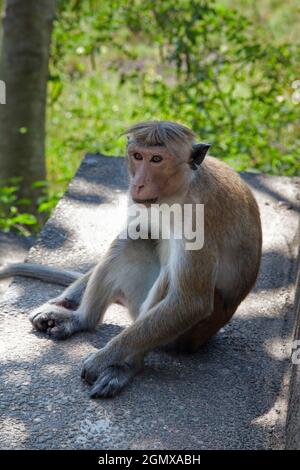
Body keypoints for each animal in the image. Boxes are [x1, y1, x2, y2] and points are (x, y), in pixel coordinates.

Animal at [0, 120, 262, 396]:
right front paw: (66, 300)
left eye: (156, 159)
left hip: (190, 334)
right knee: (132, 238)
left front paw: (102, 359)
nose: (138, 183)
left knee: (169, 280)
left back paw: (126, 366)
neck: (179, 192)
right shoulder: (138, 201)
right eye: (138, 156)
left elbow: (192, 302)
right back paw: (81, 320)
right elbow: (136, 231)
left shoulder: (198, 219)